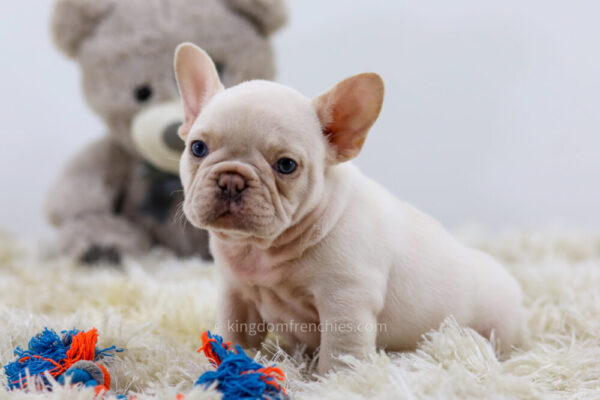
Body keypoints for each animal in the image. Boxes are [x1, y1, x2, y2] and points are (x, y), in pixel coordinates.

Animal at [173, 42, 520, 374]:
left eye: (286, 165)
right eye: (198, 148)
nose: (231, 180)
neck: (262, 249)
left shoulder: (345, 301)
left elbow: (341, 352)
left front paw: (336, 382)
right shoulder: (237, 296)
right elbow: (235, 336)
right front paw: (228, 366)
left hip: (497, 325)